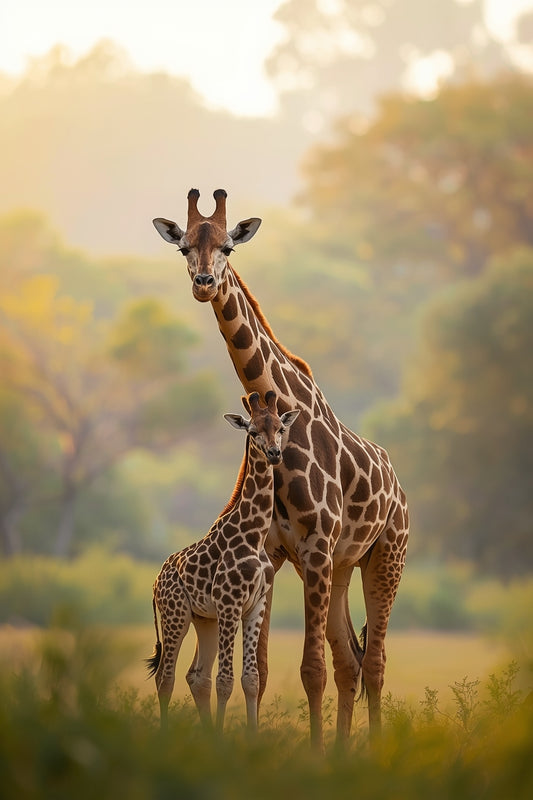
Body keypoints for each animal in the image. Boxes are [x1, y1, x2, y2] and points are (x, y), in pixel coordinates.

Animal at [147, 391, 299, 733]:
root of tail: (156, 581)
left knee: (196, 675)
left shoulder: (256, 604)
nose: (274, 454)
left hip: (205, 620)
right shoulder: (231, 604)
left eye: (280, 428)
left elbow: (251, 679)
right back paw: (164, 734)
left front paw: (250, 738)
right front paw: (222, 739)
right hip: (176, 614)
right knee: (166, 677)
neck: (254, 534)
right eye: (252, 431)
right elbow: (226, 680)